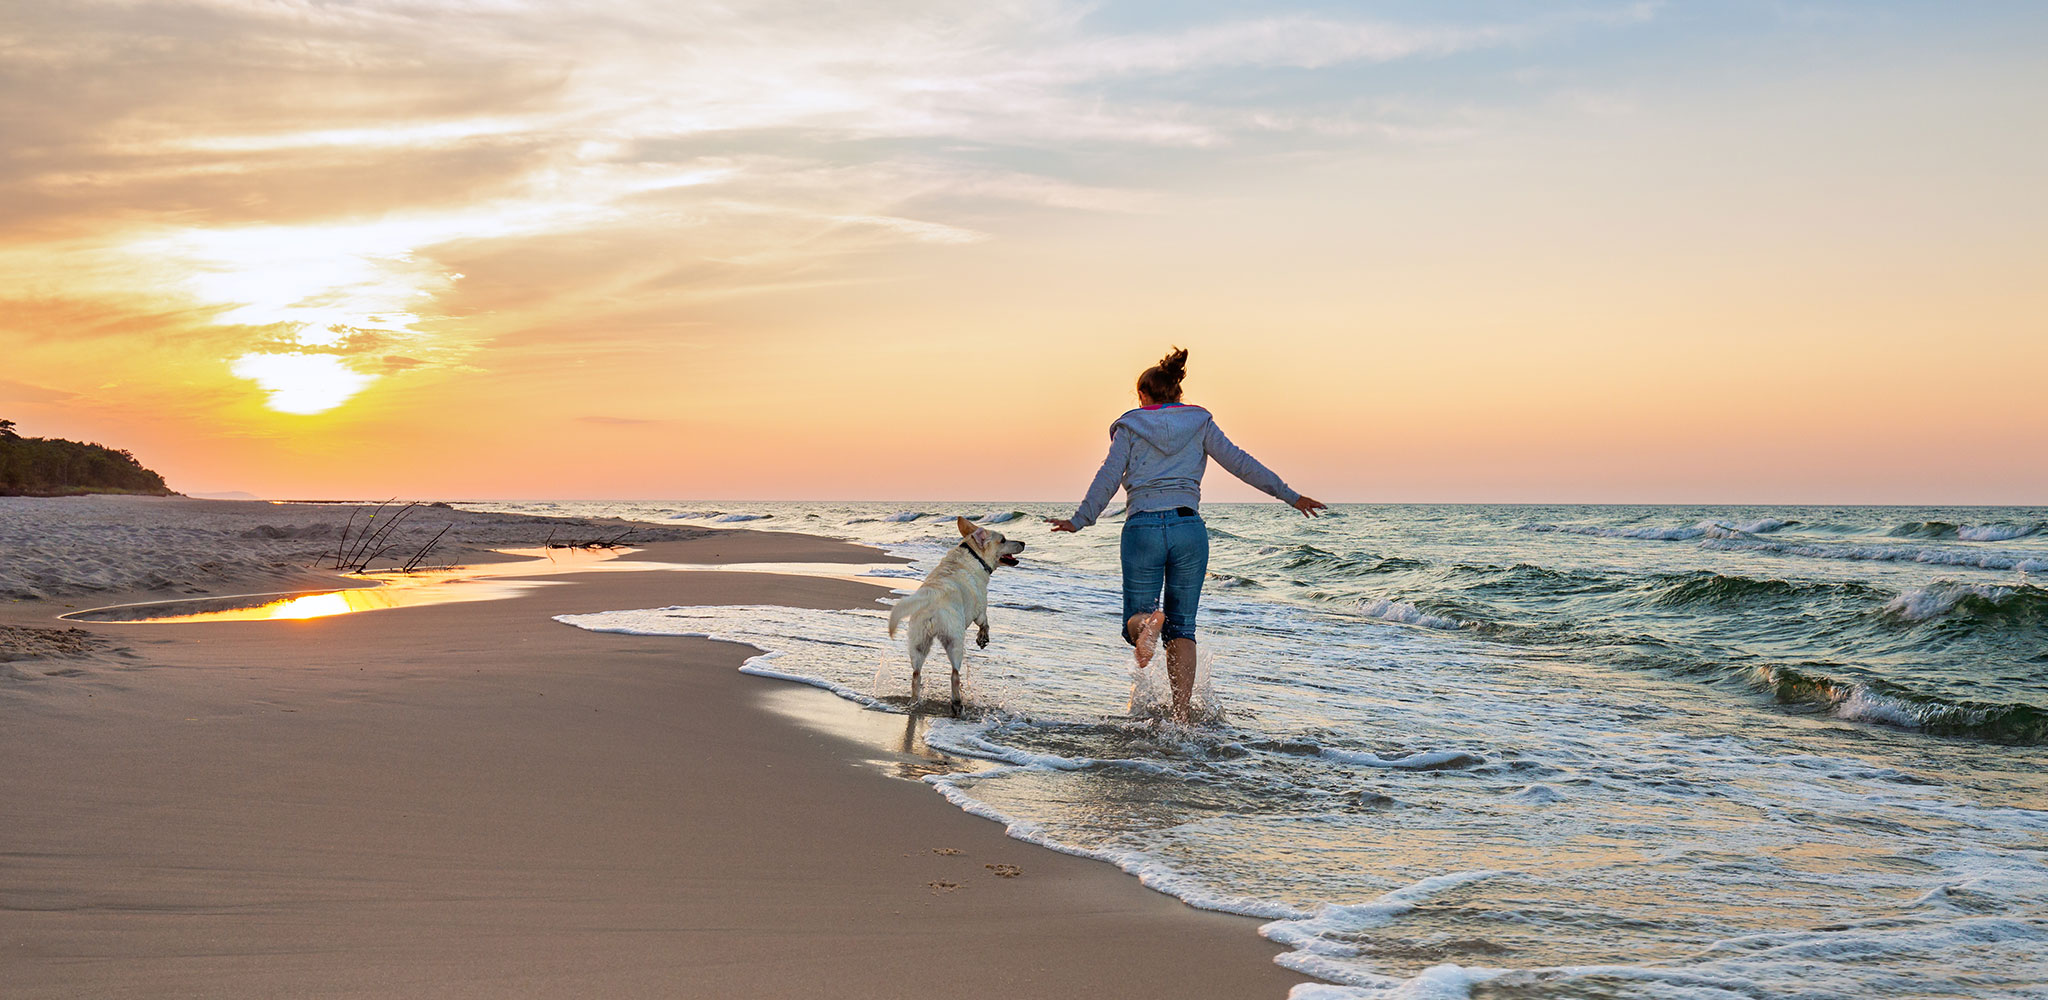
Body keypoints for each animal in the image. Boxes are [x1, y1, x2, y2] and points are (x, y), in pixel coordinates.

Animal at [892, 516, 1032, 709]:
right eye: (1003, 540)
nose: (1023, 543)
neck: (974, 554)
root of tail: (931, 600)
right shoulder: (980, 609)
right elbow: (985, 623)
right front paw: (982, 638)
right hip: (955, 641)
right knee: (955, 674)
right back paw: (957, 703)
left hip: (918, 642)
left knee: (916, 675)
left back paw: (914, 701)